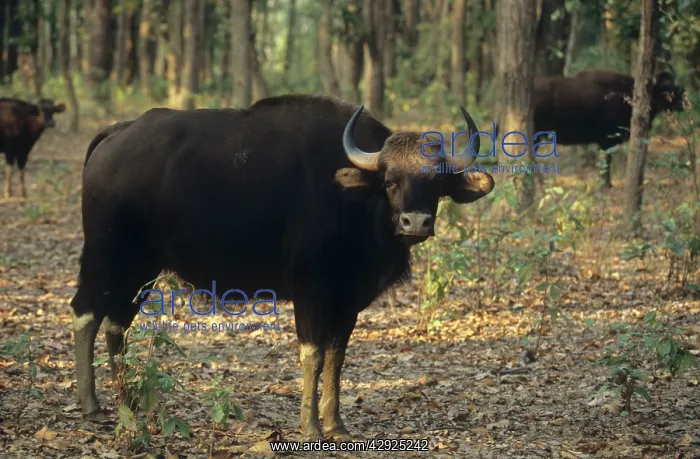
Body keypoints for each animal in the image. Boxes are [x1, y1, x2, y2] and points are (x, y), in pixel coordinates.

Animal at [69, 95, 495, 441]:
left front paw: (336, 424)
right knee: (85, 312)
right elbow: (314, 354)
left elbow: (338, 355)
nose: (415, 222)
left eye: (436, 182)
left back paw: (129, 403)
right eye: (390, 181)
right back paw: (92, 405)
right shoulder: (311, 290)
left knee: (117, 322)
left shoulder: (347, 299)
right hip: (106, 253)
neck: (354, 204)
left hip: (143, 266)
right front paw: (310, 426)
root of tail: (117, 132)